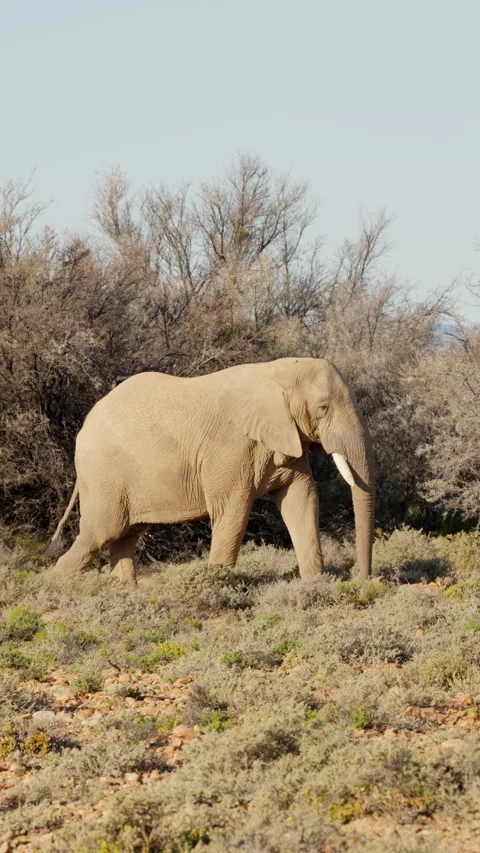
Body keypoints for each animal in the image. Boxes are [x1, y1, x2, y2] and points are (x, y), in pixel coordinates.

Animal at [48, 357, 375, 585]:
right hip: (103, 473)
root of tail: (83, 428)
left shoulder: (286, 439)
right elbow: (232, 512)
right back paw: (54, 591)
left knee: (125, 537)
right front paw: (219, 585)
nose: (364, 581)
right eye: (323, 408)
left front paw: (315, 586)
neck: (274, 372)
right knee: (101, 532)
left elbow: (302, 501)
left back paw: (128, 594)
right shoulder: (229, 449)